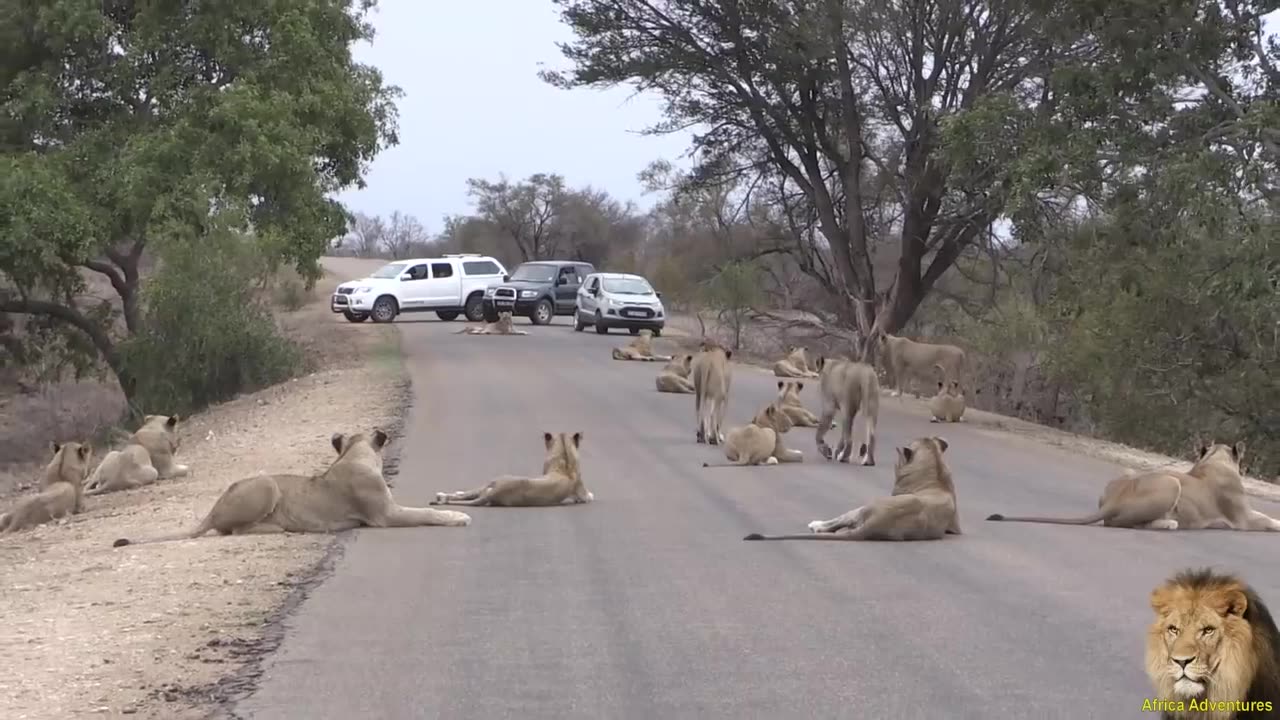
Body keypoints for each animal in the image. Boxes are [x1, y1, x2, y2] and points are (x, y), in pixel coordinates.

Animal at [110, 425, 471, 543]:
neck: (353, 455)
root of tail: (213, 508)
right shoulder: (385, 515)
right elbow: (425, 513)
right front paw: (459, 517)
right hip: (267, 485)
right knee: (236, 531)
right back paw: (279, 528)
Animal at [427, 430, 591, 504]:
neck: (564, 458)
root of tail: (495, 492)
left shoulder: (582, 495)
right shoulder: (583, 495)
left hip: (490, 482)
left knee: (463, 495)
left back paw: (443, 496)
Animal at [983, 438, 1280, 527]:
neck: (1215, 459)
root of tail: (1114, 500)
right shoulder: (1243, 518)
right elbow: (1269, 520)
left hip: (1127, 472)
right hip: (1172, 483)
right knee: (1122, 523)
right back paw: (1169, 524)